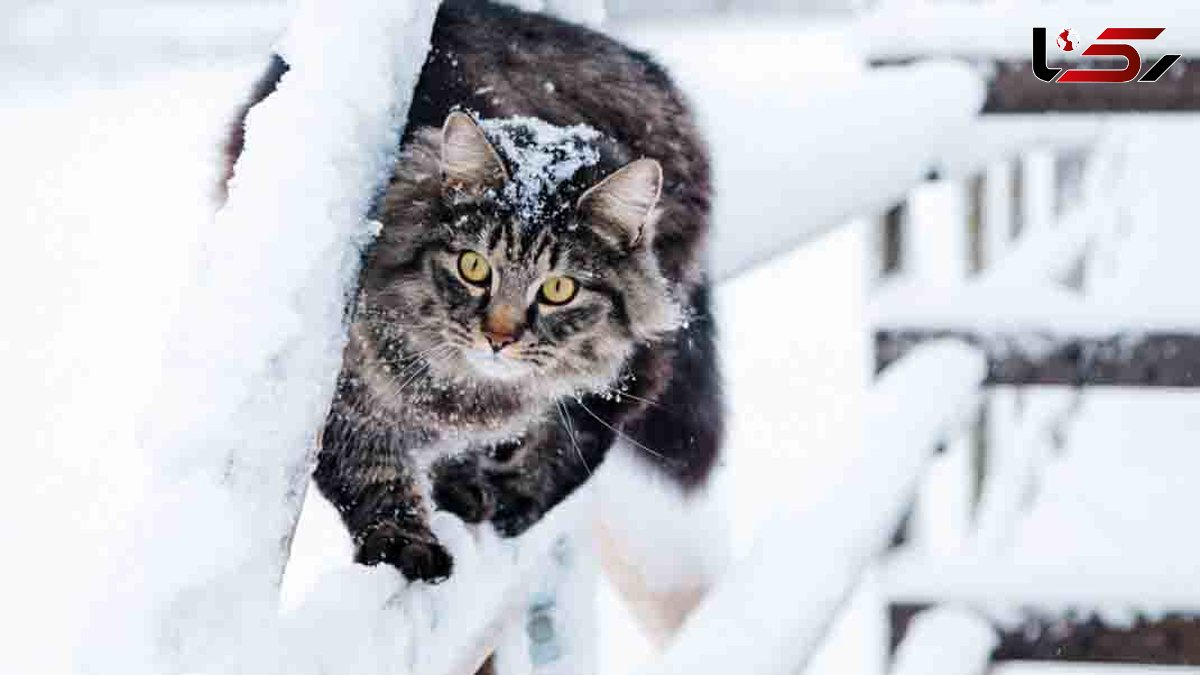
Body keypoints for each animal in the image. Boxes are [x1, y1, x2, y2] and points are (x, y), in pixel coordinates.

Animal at [220, 0, 715, 578]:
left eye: (559, 289)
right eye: (474, 267)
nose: (499, 337)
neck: (464, 391)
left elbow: (568, 441)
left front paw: (508, 493)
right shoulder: (340, 390)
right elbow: (370, 474)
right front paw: (402, 539)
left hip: (645, 347)